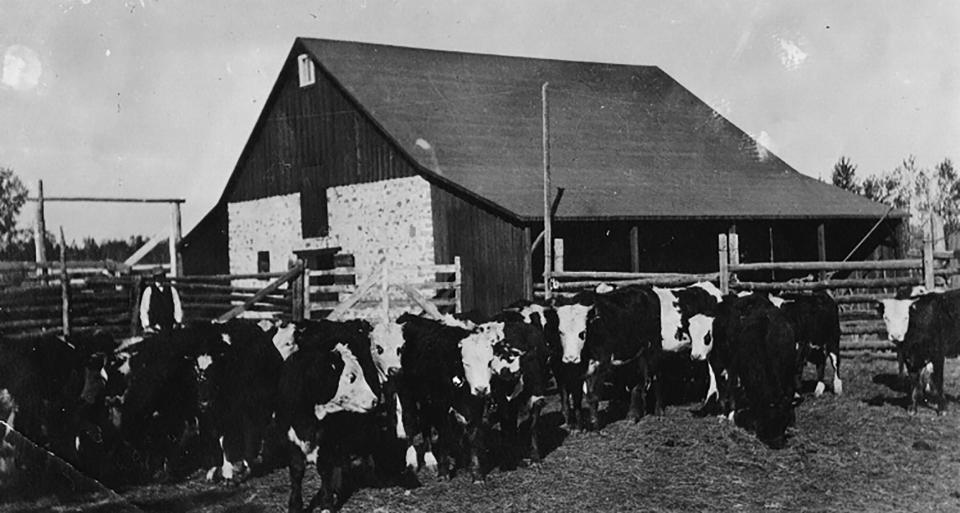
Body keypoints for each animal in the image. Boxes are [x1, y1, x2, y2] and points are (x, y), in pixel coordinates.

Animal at [276, 324, 380, 512]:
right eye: (351, 377)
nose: (374, 400)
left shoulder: (328, 439)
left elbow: (325, 470)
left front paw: (326, 504)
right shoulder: (290, 439)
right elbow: (296, 471)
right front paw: (295, 505)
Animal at [556, 284, 660, 428]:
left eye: (582, 332)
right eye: (561, 332)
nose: (570, 358)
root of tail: (645, 290)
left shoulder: (602, 364)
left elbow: (593, 396)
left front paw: (595, 425)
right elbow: (576, 396)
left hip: (652, 347)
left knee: (653, 377)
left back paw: (655, 411)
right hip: (634, 355)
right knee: (640, 381)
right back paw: (635, 414)